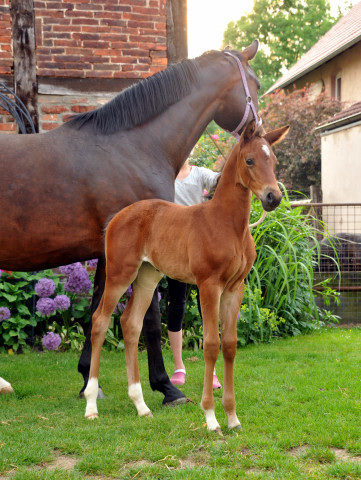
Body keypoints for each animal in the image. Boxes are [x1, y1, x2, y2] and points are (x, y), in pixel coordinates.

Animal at [83, 120, 286, 432]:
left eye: (273, 160)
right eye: (250, 160)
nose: (273, 197)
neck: (228, 225)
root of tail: (116, 217)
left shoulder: (234, 288)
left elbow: (230, 345)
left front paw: (232, 418)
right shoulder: (208, 285)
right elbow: (211, 345)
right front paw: (211, 418)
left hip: (147, 277)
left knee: (131, 324)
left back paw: (141, 406)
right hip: (120, 275)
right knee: (100, 322)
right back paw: (91, 405)